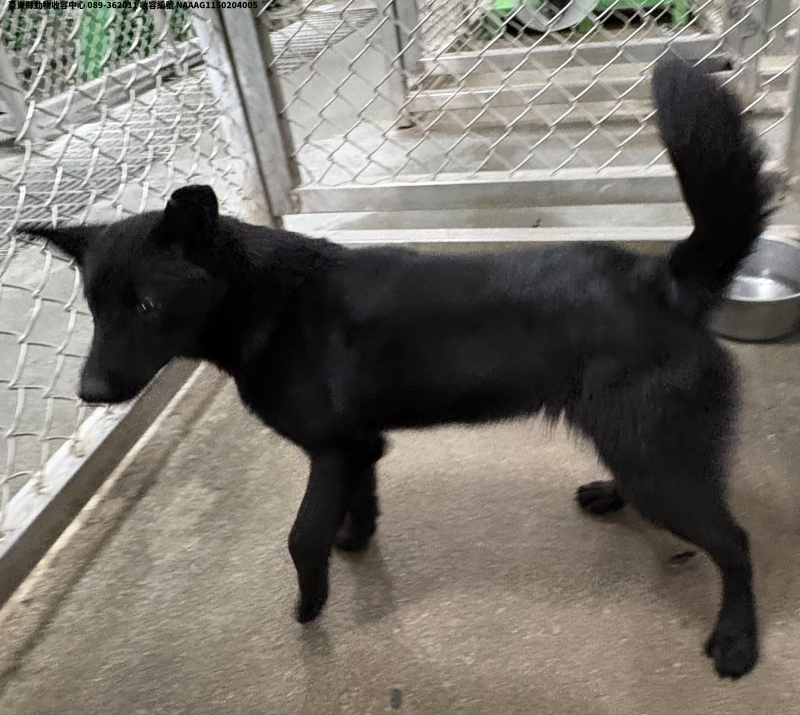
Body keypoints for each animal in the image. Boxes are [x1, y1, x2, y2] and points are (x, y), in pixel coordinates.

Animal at [26, 55, 772, 679]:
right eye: (94, 306)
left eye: (146, 304)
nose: (88, 392)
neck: (269, 302)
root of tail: (664, 277)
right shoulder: (357, 447)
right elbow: (358, 502)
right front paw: (355, 539)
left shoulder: (333, 449)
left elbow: (300, 537)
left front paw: (311, 604)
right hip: (637, 443)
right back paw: (612, 495)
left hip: (656, 456)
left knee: (737, 543)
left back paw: (738, 640)